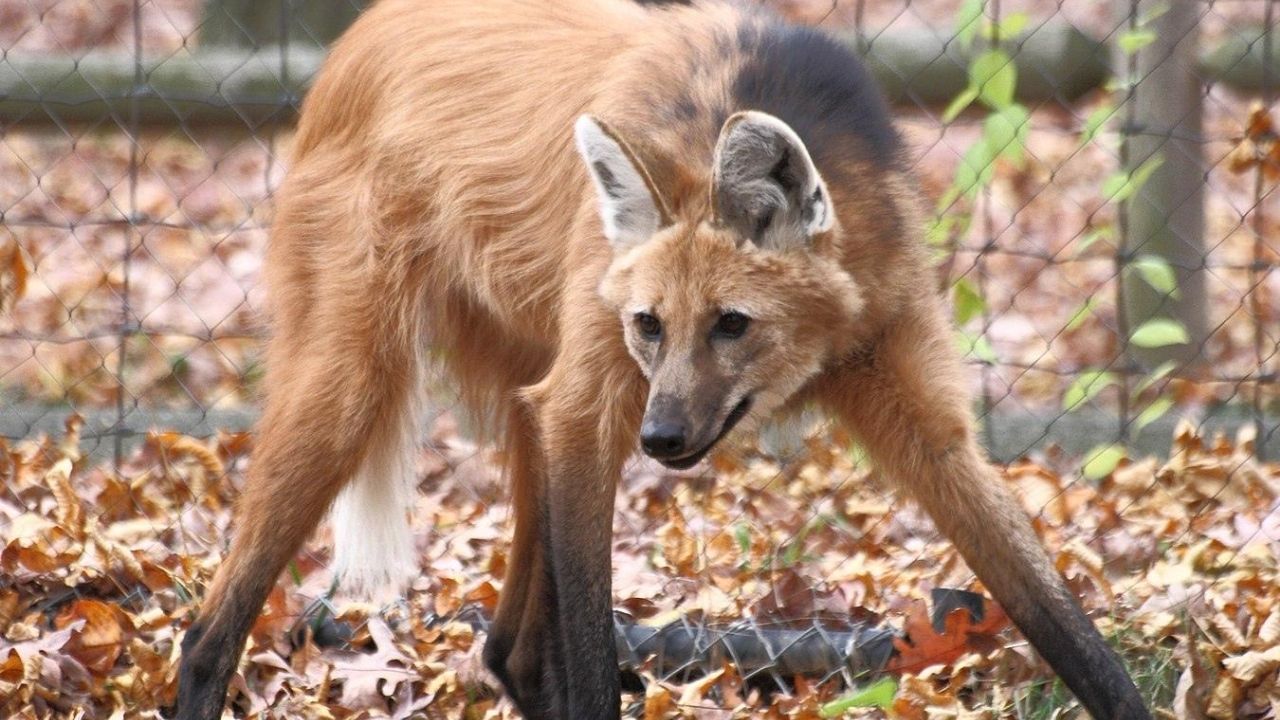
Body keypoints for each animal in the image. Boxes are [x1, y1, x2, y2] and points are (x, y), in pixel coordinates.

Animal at [173, 0, 1151, 718]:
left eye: (732, 324)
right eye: (650, 324)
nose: (665, 439)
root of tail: (355, 37)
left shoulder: (918, 408)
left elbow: (1063, 622)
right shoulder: (595, 406)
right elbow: (591, 653)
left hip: (535, 398)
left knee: (510, 649)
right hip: (360, 388)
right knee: (207, 634)